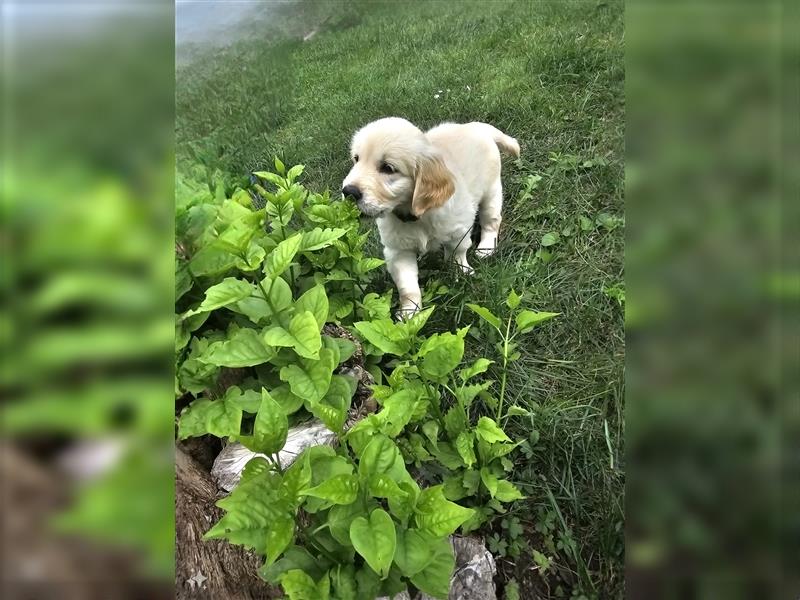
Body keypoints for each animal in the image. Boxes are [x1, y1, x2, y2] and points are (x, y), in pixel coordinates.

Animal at [342, 115, 520, 316]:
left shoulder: (458, 231)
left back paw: (486, 248)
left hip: (492, 190)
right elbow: (407, 286)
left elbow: (457, 253)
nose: (348, 191)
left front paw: (462, 273)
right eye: (356, 159)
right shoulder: (397, 251)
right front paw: (410, 313)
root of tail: (475, 127)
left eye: (388, 168)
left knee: (492, 220)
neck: (416, 215)